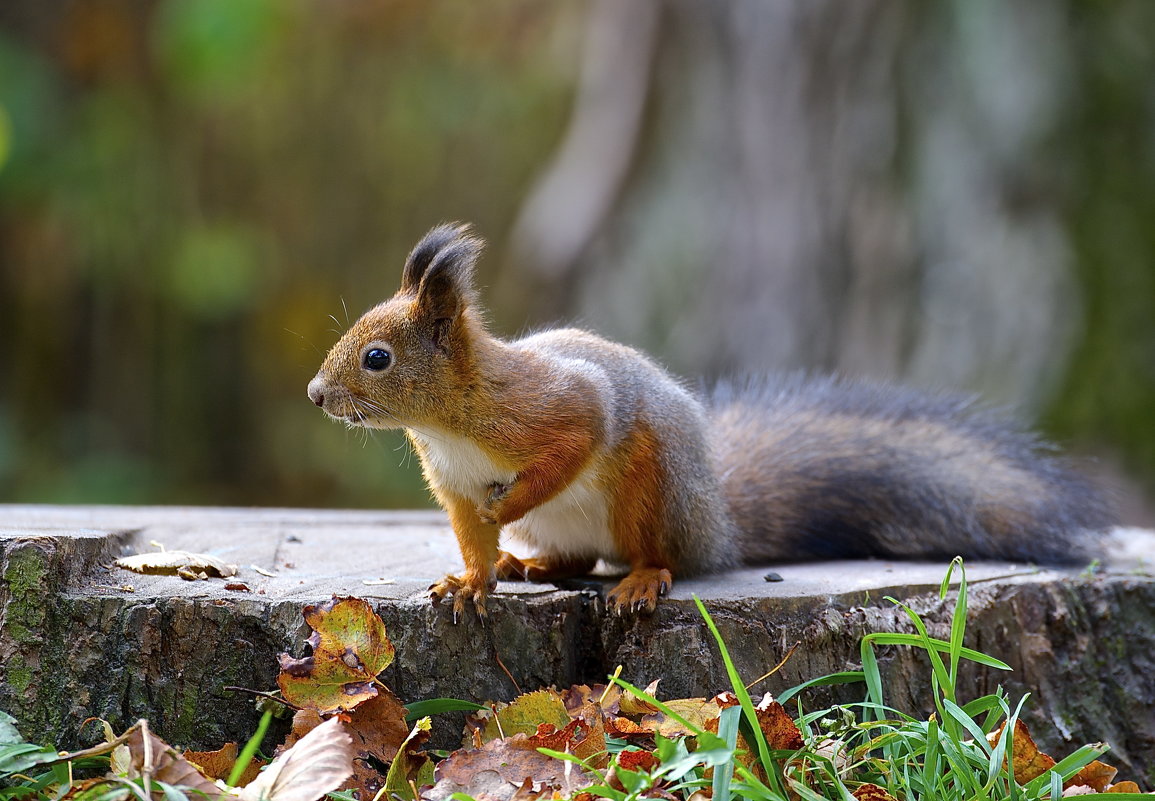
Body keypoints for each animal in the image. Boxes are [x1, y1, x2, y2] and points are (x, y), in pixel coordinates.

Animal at [304, 226, 1108, 623]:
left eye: (376, 358)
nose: (315, 395)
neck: (449, 421)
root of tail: (719, 526)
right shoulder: (453, 485)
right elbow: (471, 532)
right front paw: (473, 577)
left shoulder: (558, 405)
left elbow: (571, 442)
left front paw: (511, 506)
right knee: (575, 561)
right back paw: (524, 564)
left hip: (651, 487)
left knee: (655, 558)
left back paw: (639, 579)